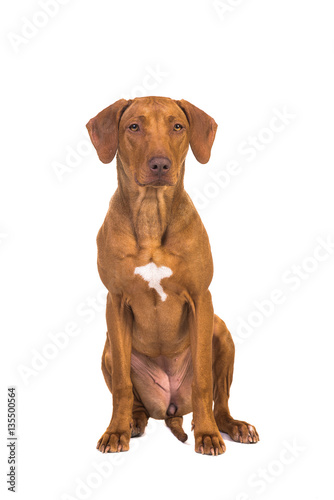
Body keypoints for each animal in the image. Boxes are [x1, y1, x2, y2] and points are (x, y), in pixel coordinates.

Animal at [85, 95, 258, 456]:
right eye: (133, 126)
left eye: (177, 126)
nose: (160, 165)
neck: (151, 214)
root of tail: (171, 406)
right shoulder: (115, 302)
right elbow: (122, 385)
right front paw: (115, 431)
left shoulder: (201, 299)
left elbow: (205, 382)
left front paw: (206, 435)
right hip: (108, 346)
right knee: (133, 398)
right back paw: (133, 422)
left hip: (221, 333)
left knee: (219, 402)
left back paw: (231, 426)